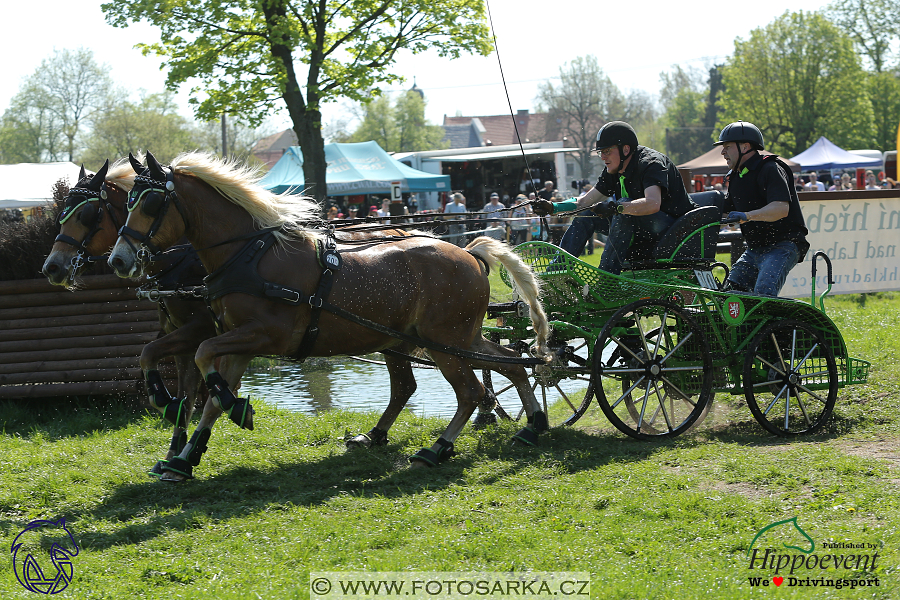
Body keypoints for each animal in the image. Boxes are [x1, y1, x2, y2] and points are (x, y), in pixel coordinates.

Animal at [42, 158, 218, 474]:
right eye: (62, 213)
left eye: (86, 214)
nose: (52, 267)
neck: (181, 263)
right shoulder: (183, 337)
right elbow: (185, 396)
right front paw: (173, 454)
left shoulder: (200, 328)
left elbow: (152, 357)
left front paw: (169, 412)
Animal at [109, 151, 552, 482]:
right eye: (126, 203)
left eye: (150, 203)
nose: (119, 260)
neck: (251, 257)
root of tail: (470, 253)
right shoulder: (238, 341)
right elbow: (209, 396)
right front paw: (186, 455)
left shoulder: (263, 334)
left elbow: (203, 362)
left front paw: (201, 409)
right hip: (454, 339)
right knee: (510, 363)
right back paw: (533, 424)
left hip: (443, 343)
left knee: (471, 391)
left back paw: (439, 448)